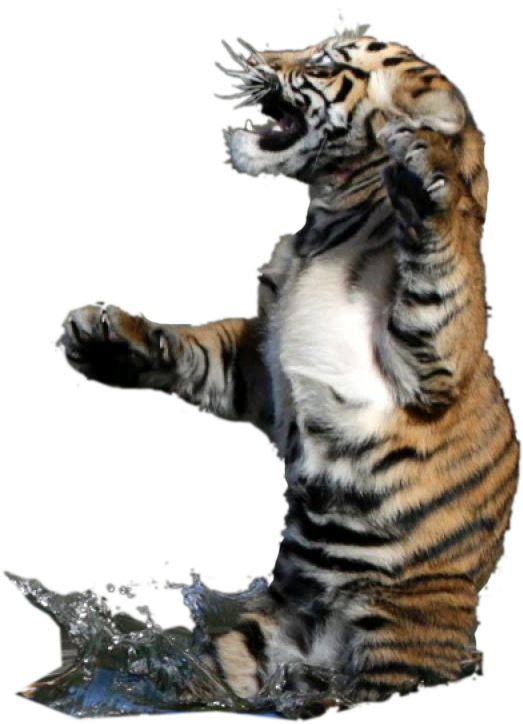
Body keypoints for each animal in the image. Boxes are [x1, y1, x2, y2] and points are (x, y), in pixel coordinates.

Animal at [55, 9, 519, 716]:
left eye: (324, 64)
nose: (258, 55)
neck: (326, 221)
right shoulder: (261, 365)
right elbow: (199, 351)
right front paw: (105, 341)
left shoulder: (425, 368)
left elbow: (441, 277)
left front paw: (428, 172)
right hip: (255, 644)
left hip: (397, 635)